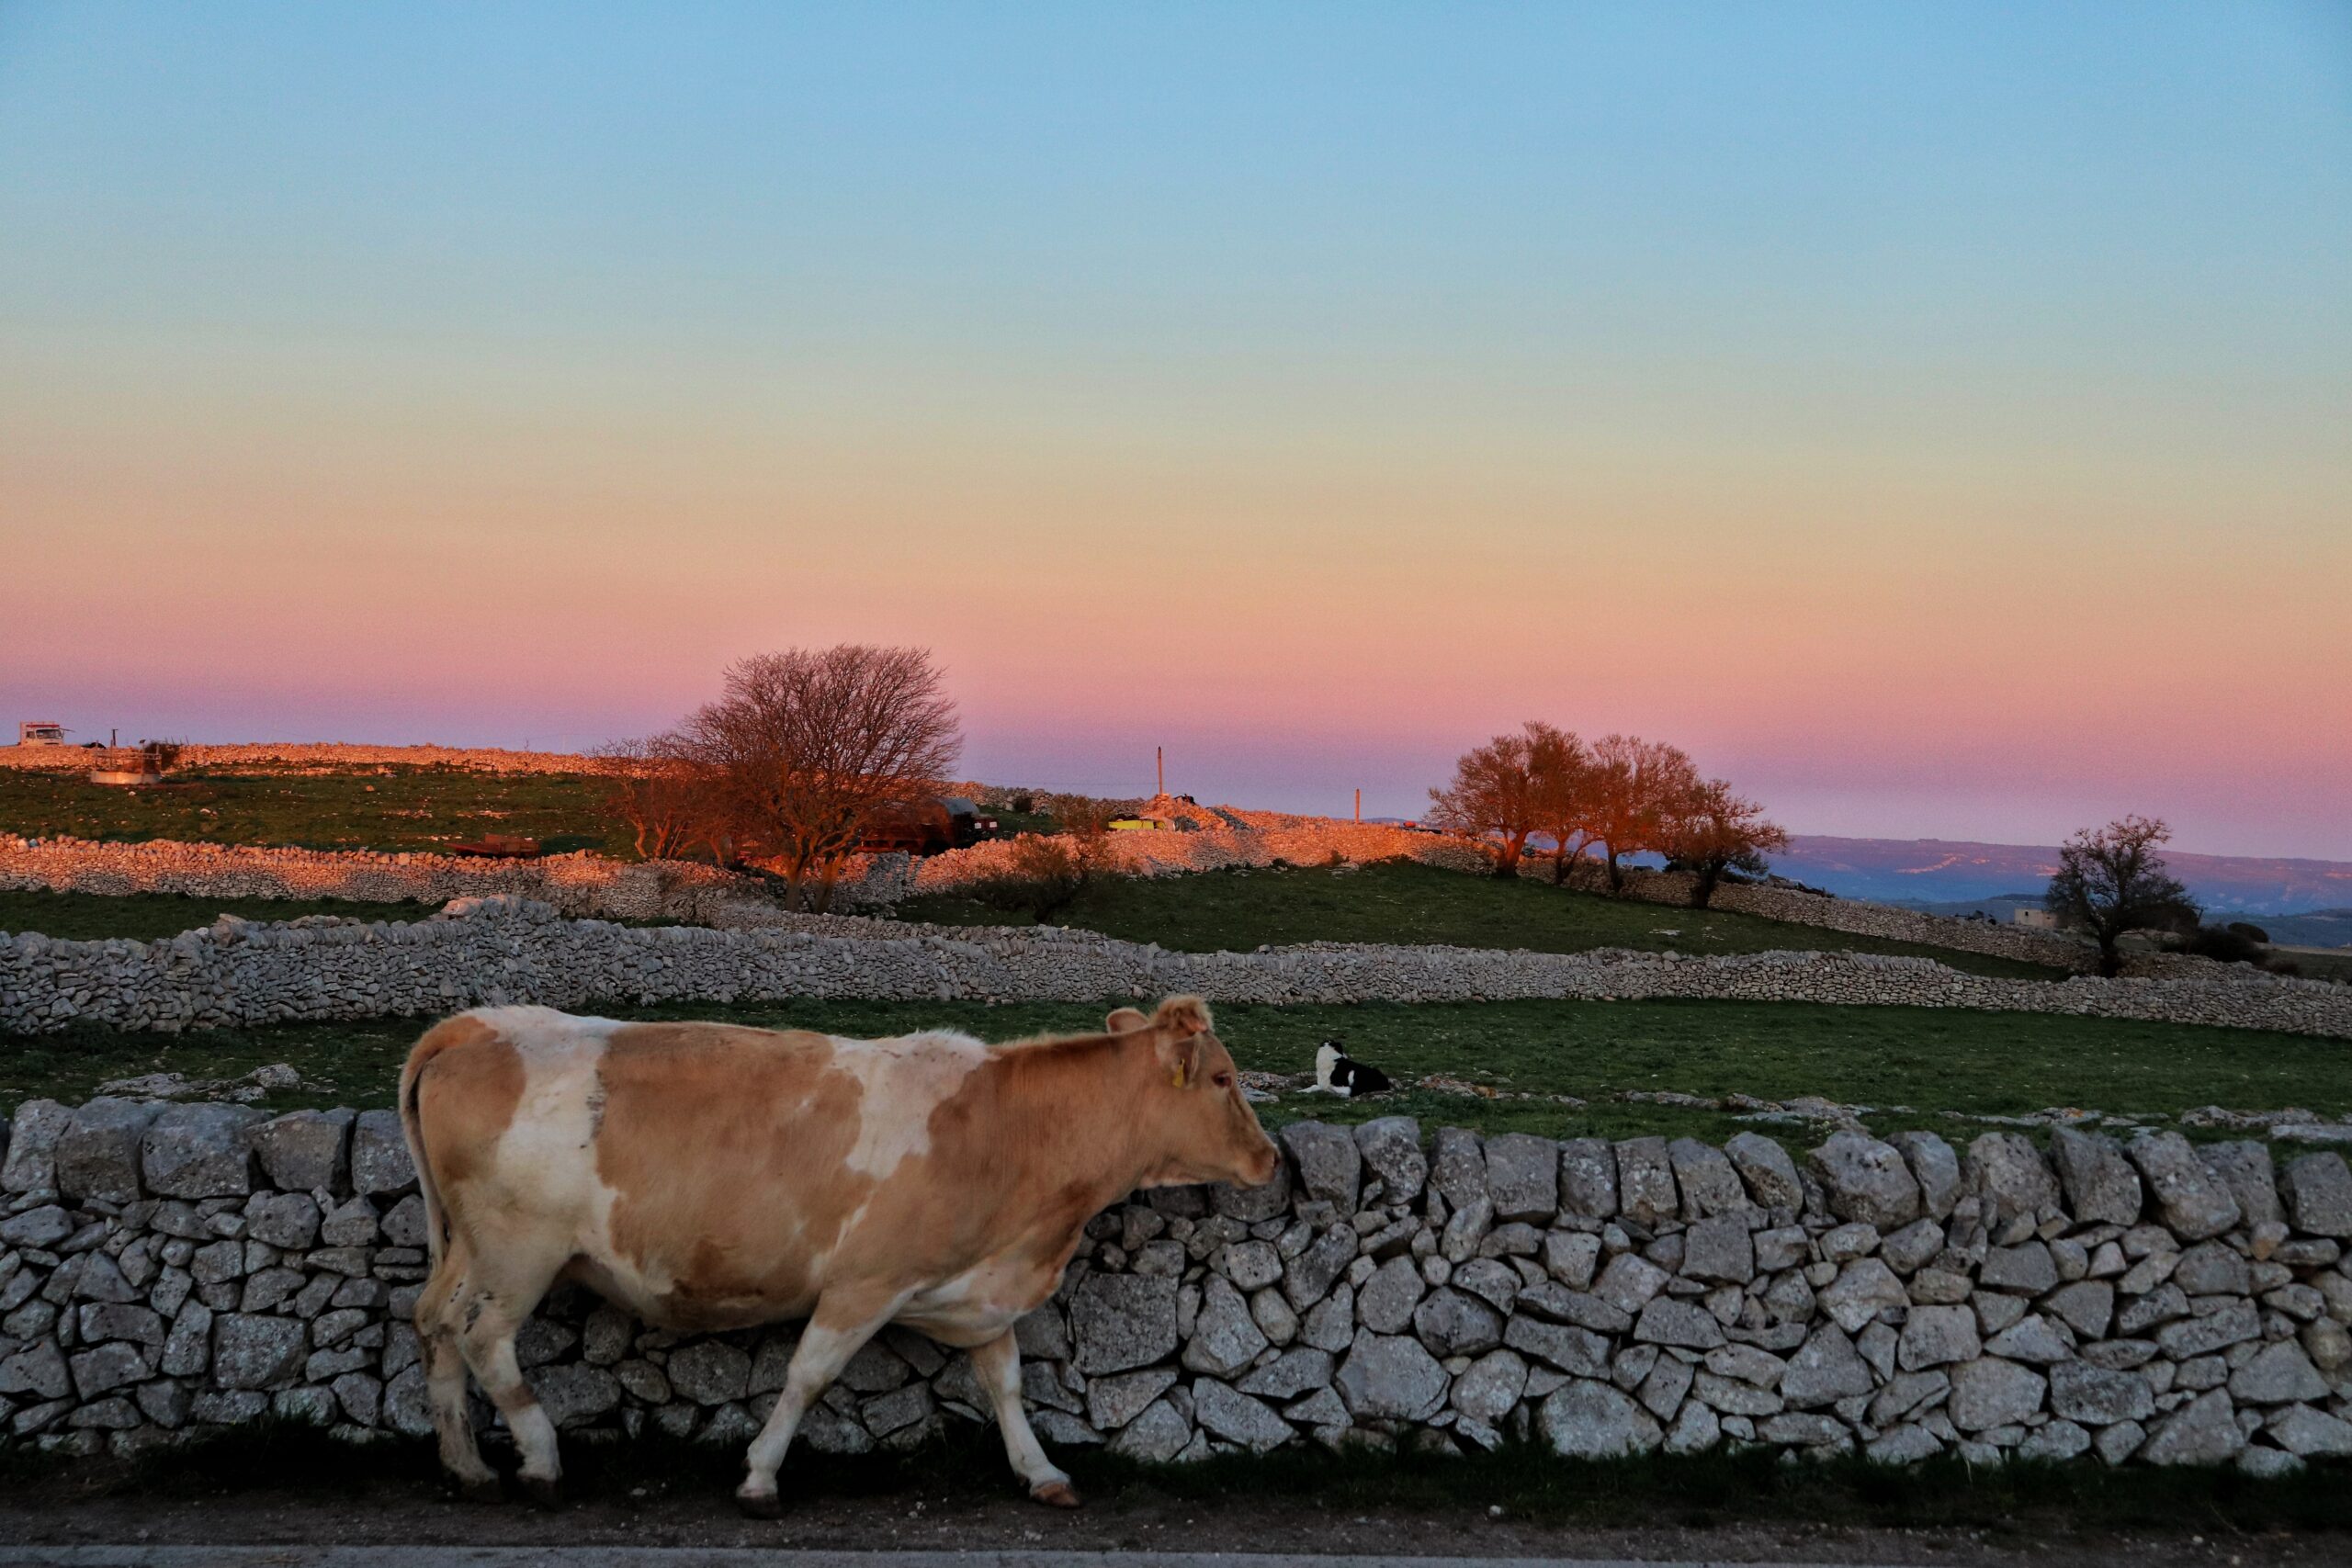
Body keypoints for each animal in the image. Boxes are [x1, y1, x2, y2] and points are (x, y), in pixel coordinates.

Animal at [406, 1001, 1288, 1514]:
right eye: (1222, 1078)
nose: (1271, 1157)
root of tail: (473, 1024)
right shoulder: (866, 1281)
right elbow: (808, 1374)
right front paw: (760, 1476)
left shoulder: (979, 1290)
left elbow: (1006, 1384)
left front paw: (1040, 1471)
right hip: (520, 1248)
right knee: (483, 1336)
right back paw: (540, 1460)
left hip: (470, 1246)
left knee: (434, 1321)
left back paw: (465, 1464)